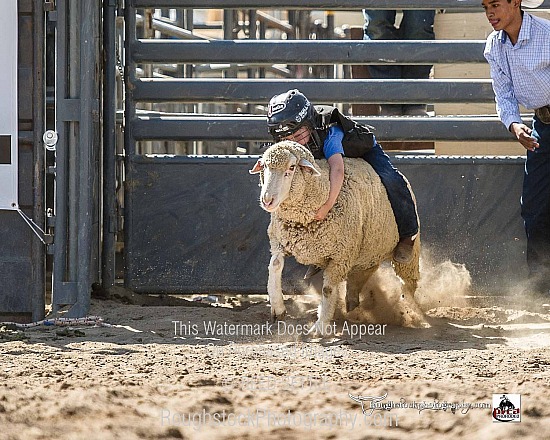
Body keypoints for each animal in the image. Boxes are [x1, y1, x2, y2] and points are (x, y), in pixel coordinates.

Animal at [250, 140, 426, 334]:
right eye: (265, 166)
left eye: (291, 167)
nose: (267, 200)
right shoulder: (280, 241)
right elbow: (274, 266)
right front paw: (278, 308)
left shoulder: (340, 257)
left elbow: (328, 289)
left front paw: (320, 326)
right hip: (365, 253)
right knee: (361, 274)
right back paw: (352, 303)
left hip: (407, 254)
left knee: (409, 282)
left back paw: (409, 307)